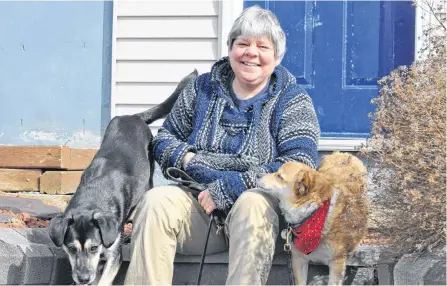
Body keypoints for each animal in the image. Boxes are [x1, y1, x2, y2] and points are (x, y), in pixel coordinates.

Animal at [48, 70, 199, 286]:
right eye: (71, 248)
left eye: (94, 247)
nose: (83, 278)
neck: (91, 201)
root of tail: (134, 116)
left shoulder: (113, 255)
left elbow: (104, 279)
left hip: (147, 182)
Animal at [258, 152, 370, 286]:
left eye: (279, 176)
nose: (257, 174)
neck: (313, 213)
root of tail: (343, 154)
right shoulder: (298, 260)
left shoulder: (336, 264)